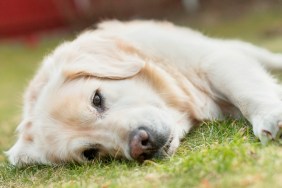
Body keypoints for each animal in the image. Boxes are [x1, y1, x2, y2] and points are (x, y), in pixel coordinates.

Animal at [6, 19, 282, 165]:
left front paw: (270, 116)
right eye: (91, 153)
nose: (140, 144)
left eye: (97, 99)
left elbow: (247, 92)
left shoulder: (212, 60)